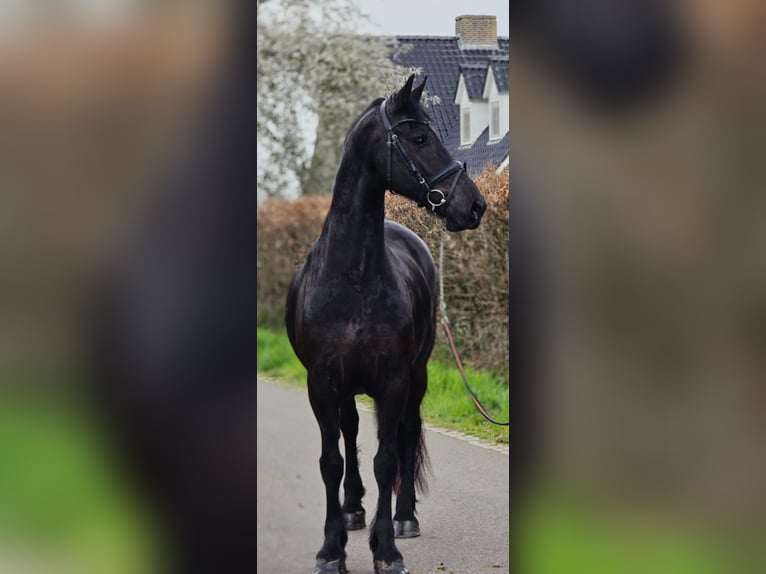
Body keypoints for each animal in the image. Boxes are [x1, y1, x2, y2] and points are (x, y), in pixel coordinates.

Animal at [285, 74, 486, 574]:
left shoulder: (394, 380)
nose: (474, 205)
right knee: (351, 431)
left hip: (416, 375)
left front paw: (388, 550)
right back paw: (353, 510)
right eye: (419, 138)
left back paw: (404, 517)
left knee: (407, 435)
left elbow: (387, 459)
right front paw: (331, 550)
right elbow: (331, 460)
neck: (353, 279)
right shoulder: (322, 384)